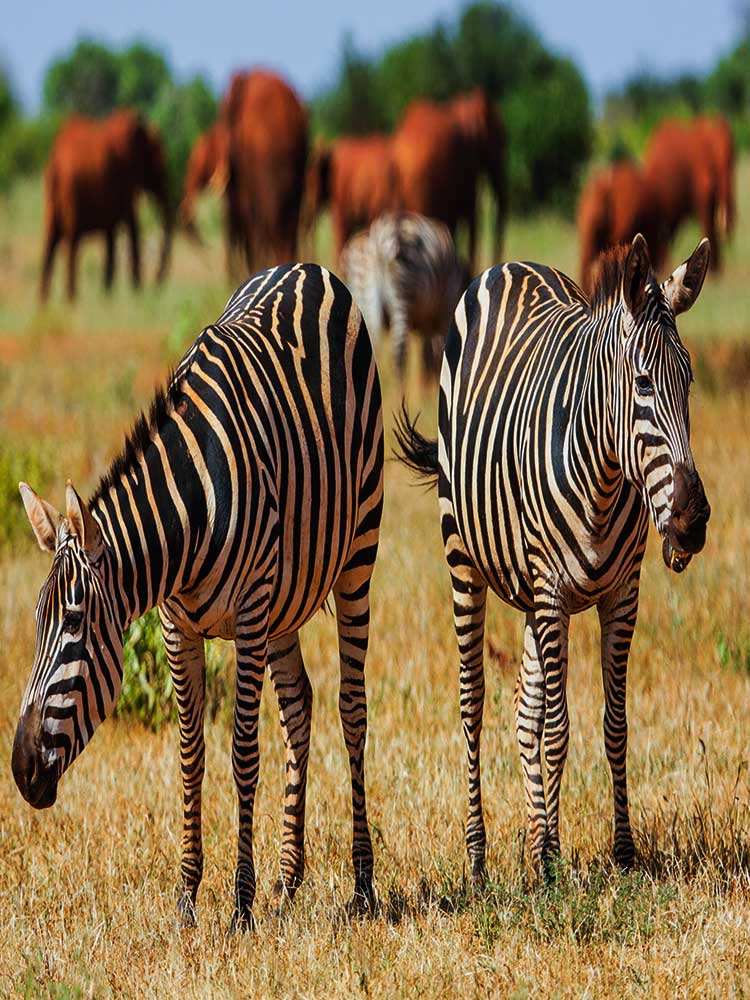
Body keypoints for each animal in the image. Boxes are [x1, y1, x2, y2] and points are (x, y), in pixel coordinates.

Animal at [12, 263, 384, 930]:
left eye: (75, 624)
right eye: (36, 625)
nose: (21, 769)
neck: (187, 516)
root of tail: (309, 269)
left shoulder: (251, 613)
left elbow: (242, 753)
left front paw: (241, 902)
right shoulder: (177, 626)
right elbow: (190, 752)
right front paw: (187, 896)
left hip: (355, 554)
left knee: (351, 706)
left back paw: (362, 883)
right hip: (286, 599)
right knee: (299, 705)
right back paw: (288, 879)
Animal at [340, 211, 469, 384]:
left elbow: (427, 355)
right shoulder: (445, 312)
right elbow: (438, 352)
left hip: (366, 298)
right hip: (402, 293)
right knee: (399, 355)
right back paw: (399, 390)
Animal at [396, 235, 711, 878]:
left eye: (689, 382)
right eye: (643, 384)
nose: (690, 522)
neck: (605, 476)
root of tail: (509, 265)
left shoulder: (622, 595)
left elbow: (614, 723)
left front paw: (618, 852)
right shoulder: (553, 592)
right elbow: (559, 728)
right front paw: (554, 862)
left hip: (532, 595)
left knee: (524, 709)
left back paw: (533, 841)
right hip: (467, 563)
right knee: (475, 702)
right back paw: (480, 857)